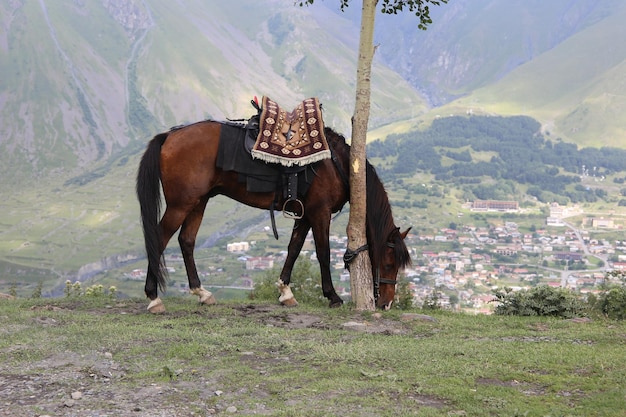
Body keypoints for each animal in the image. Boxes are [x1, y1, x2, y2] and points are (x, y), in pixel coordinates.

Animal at [135, 118, 410, 310]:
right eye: (389, 263)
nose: (386, 303)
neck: (335, 163)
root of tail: (170, 135)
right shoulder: (319, 213)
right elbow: (323, 253)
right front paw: (332, 296)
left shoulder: (305, 214)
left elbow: (294, 249)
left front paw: (286, 292)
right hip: (180, 204)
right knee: (159, 238)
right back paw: (153, 297)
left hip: (198, 202)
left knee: (186, 241)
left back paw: (202, 293)